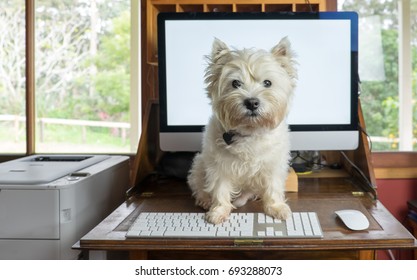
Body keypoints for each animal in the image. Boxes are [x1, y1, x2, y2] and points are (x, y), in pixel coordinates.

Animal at [185, 37, 296, 225]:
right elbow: (220, 188)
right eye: (235, 83)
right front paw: (219, 211)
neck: (250, 131)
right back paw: (205, 200)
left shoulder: (273, 164)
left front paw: (276, 208)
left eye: (267, 83)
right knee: (198, 184)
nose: (252, 102)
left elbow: (273, 187)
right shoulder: (219, 165)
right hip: (200, 163)